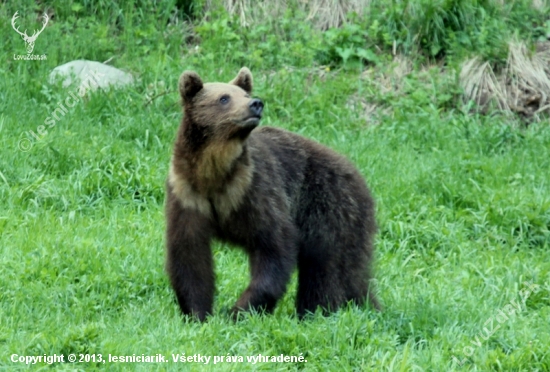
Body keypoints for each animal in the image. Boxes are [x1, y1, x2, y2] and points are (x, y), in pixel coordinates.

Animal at [165, 66, 380, 320]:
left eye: (245, 94)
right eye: (224, 98)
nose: (256, 104)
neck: (214, 173)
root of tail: (361, 179)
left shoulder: (255, 191)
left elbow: (274, 246)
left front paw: (239, 310)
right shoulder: (187, 195)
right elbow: (189, 257)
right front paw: (197, 313)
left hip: (330, 210)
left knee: (329, 270)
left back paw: (318, 310)